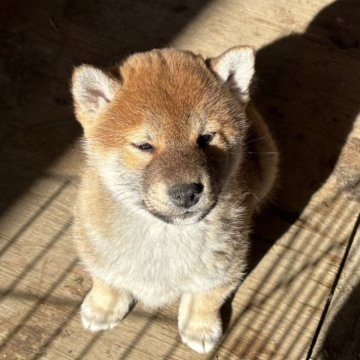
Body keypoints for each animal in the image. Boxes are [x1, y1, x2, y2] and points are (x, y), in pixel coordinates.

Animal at [71, 46, 278, 352]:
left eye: (206, 137)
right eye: (144, 145)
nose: (187, 192)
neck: (163, 236)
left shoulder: (226, 267)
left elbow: (207, 299)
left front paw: (200, 328)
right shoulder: (95, 245)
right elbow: (106, 281)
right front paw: (102, 308)